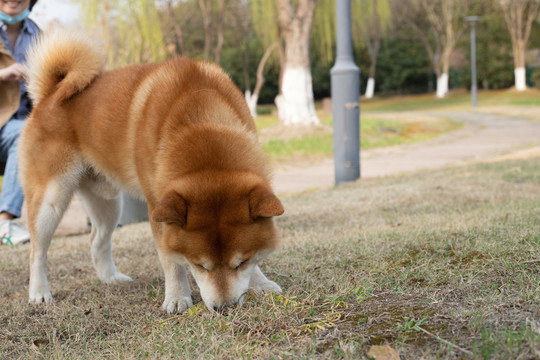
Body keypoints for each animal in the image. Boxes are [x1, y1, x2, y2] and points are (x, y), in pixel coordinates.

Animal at [19, 30, 284, 312]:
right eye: (200, 265)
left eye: (241, 262)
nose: (225, 307)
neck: (201, 119)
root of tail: (49, 95)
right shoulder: (158, 209)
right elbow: (171, 260)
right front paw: (177, 297)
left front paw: (261, 283)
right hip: (51, 199)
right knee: (37, 252)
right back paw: (39, 293)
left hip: (107, 203)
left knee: (96, 241)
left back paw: (111, 278)